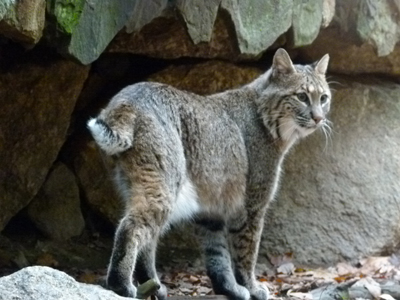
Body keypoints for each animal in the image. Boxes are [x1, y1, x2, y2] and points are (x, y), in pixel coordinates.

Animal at [87, 49, 332, 300]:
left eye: (323, 98)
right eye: (302, 96)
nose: (319, 118)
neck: (270, 125)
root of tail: (127, 98)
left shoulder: (211, 208)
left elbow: (217, 253)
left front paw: (229, 288)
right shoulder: (252, 205)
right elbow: (247, 250)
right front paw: (252, 287)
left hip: (137, 180)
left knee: (148, 235)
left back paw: (152, 285)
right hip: (167, 182)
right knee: (131, 226)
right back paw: (122, 285)